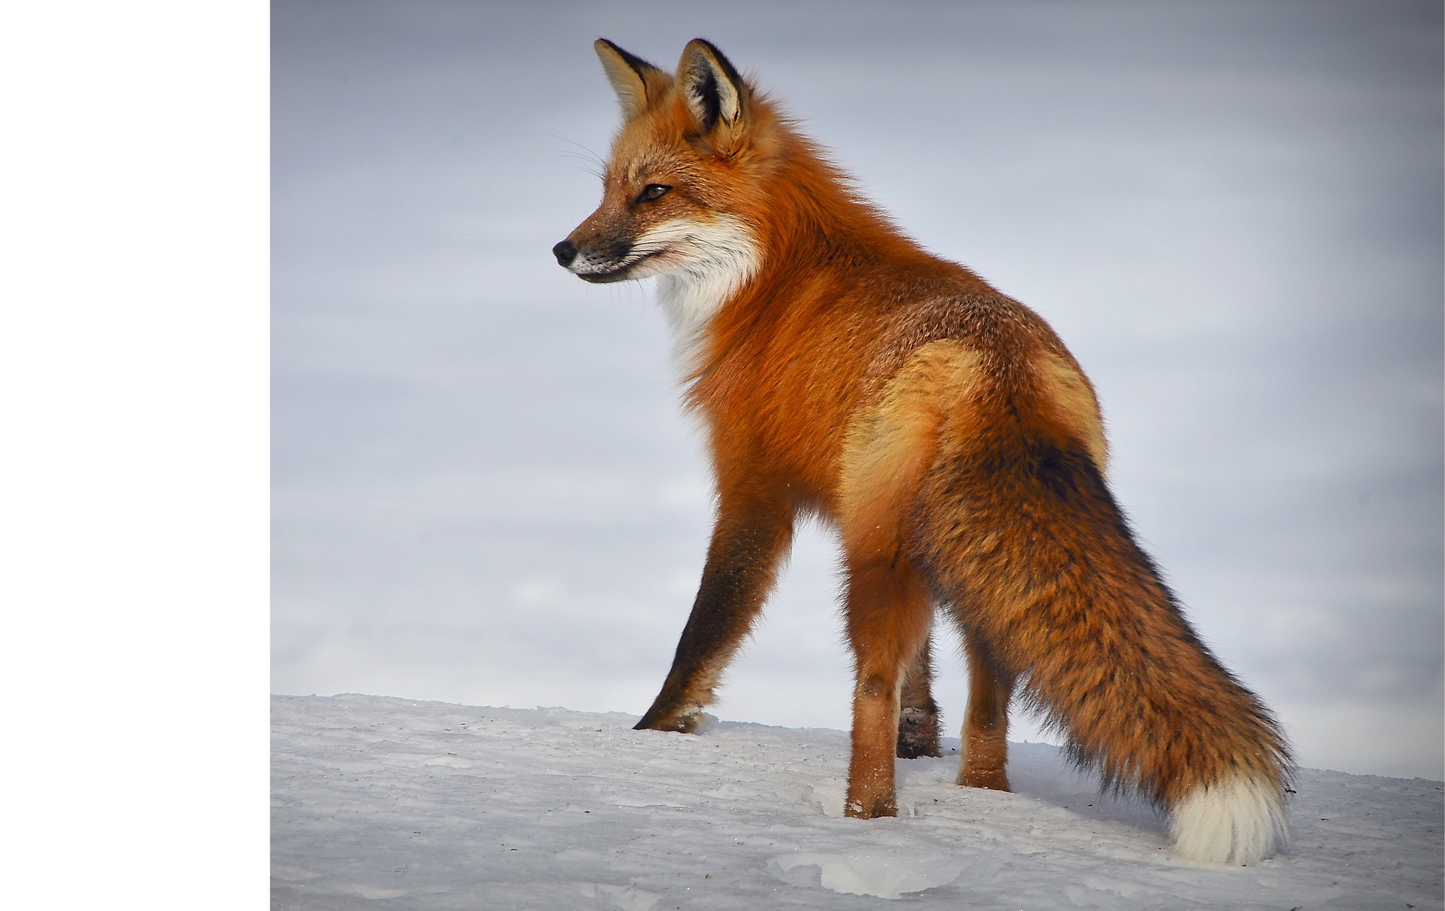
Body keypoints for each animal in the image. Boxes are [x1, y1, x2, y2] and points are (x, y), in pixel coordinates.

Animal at [552, 38, 1291, 865]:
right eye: (607, 189)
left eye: (653, 192)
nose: (562, 249)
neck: (771, 278)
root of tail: (996, 365)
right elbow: (923, 676)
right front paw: (922, 739)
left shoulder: (753, 487)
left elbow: (705, 631)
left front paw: (652, 732)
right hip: (959, 559)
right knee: (990, 698)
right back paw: (980, 795)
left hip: (875, 556)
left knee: (868, 689)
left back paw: (864, 819)